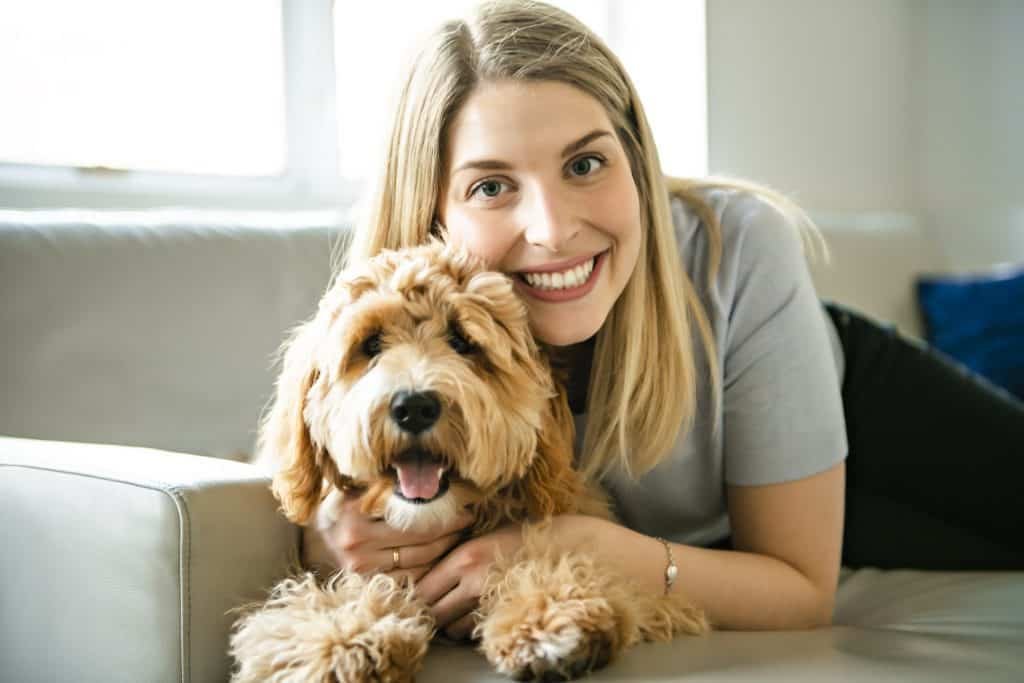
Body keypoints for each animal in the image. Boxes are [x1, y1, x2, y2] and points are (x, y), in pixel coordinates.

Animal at [228, 242, 708, 679]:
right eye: (370, 344)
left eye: (462, 341)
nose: (414, 406)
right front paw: (343, 639)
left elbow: (548, 563)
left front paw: (551, 617)